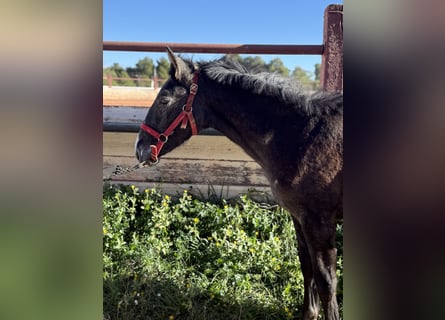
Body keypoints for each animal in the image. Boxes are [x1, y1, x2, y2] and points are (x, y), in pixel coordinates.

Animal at [134, 48, 342, 320]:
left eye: (164, 101)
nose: (139, 149)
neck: (303, 137)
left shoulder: (319, 221)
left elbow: (327, 281)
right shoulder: (300, 217)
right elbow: (306, 267)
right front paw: (309, 313)